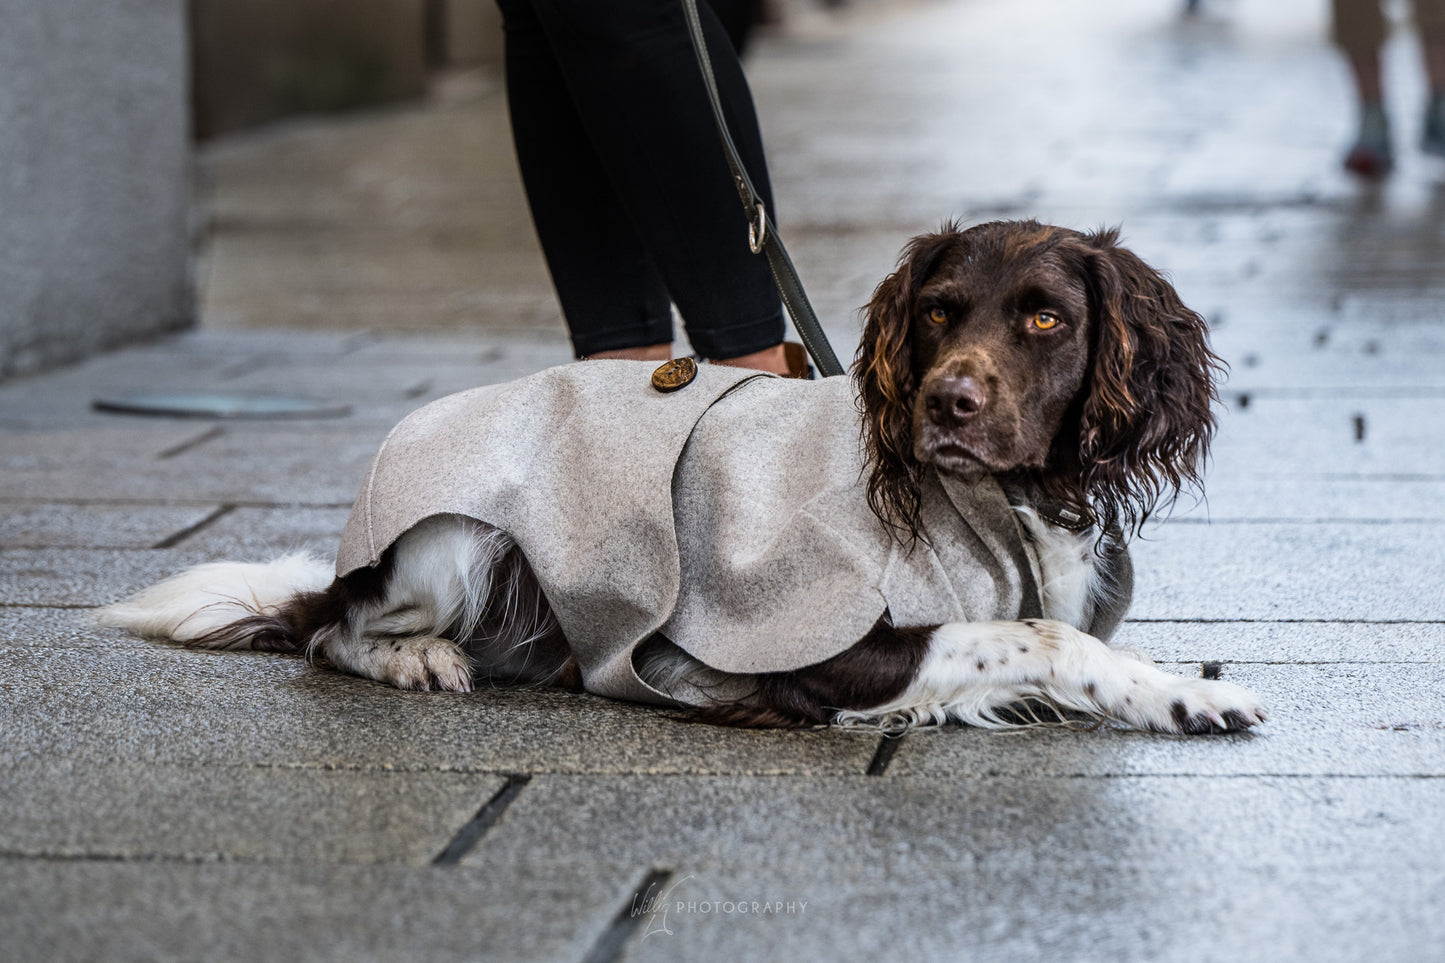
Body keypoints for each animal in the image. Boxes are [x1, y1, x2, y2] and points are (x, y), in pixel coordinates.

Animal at [101, 222, 1271, 734]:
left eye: (1044, 319)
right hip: (452, 539)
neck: (1010, 505)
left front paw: (1176, 686)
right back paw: (420, 660)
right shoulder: (828, 647)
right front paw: (1187, 696)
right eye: (938, 312)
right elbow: (1037, 637)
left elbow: (1054, 635)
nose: (946, 403)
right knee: (327, 632)